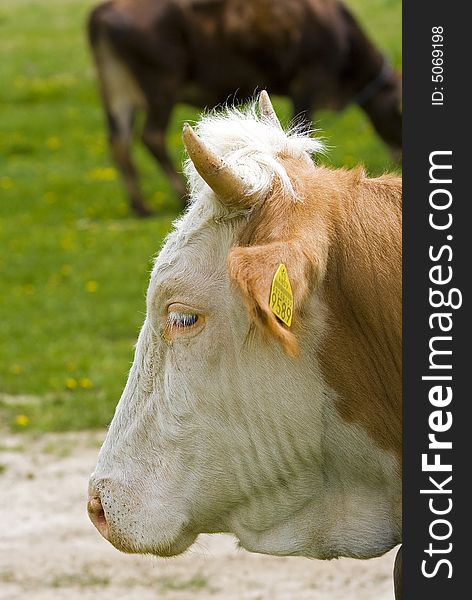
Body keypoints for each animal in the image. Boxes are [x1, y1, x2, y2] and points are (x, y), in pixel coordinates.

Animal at [86, 0, 400, 216]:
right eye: (399, 111)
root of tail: (103, 9)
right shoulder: (308, 80)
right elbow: (304, 126)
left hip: (118, 90)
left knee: (119, 142)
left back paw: (140, 206)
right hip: (160, 88)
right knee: (150, 136)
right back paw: (180, 197)